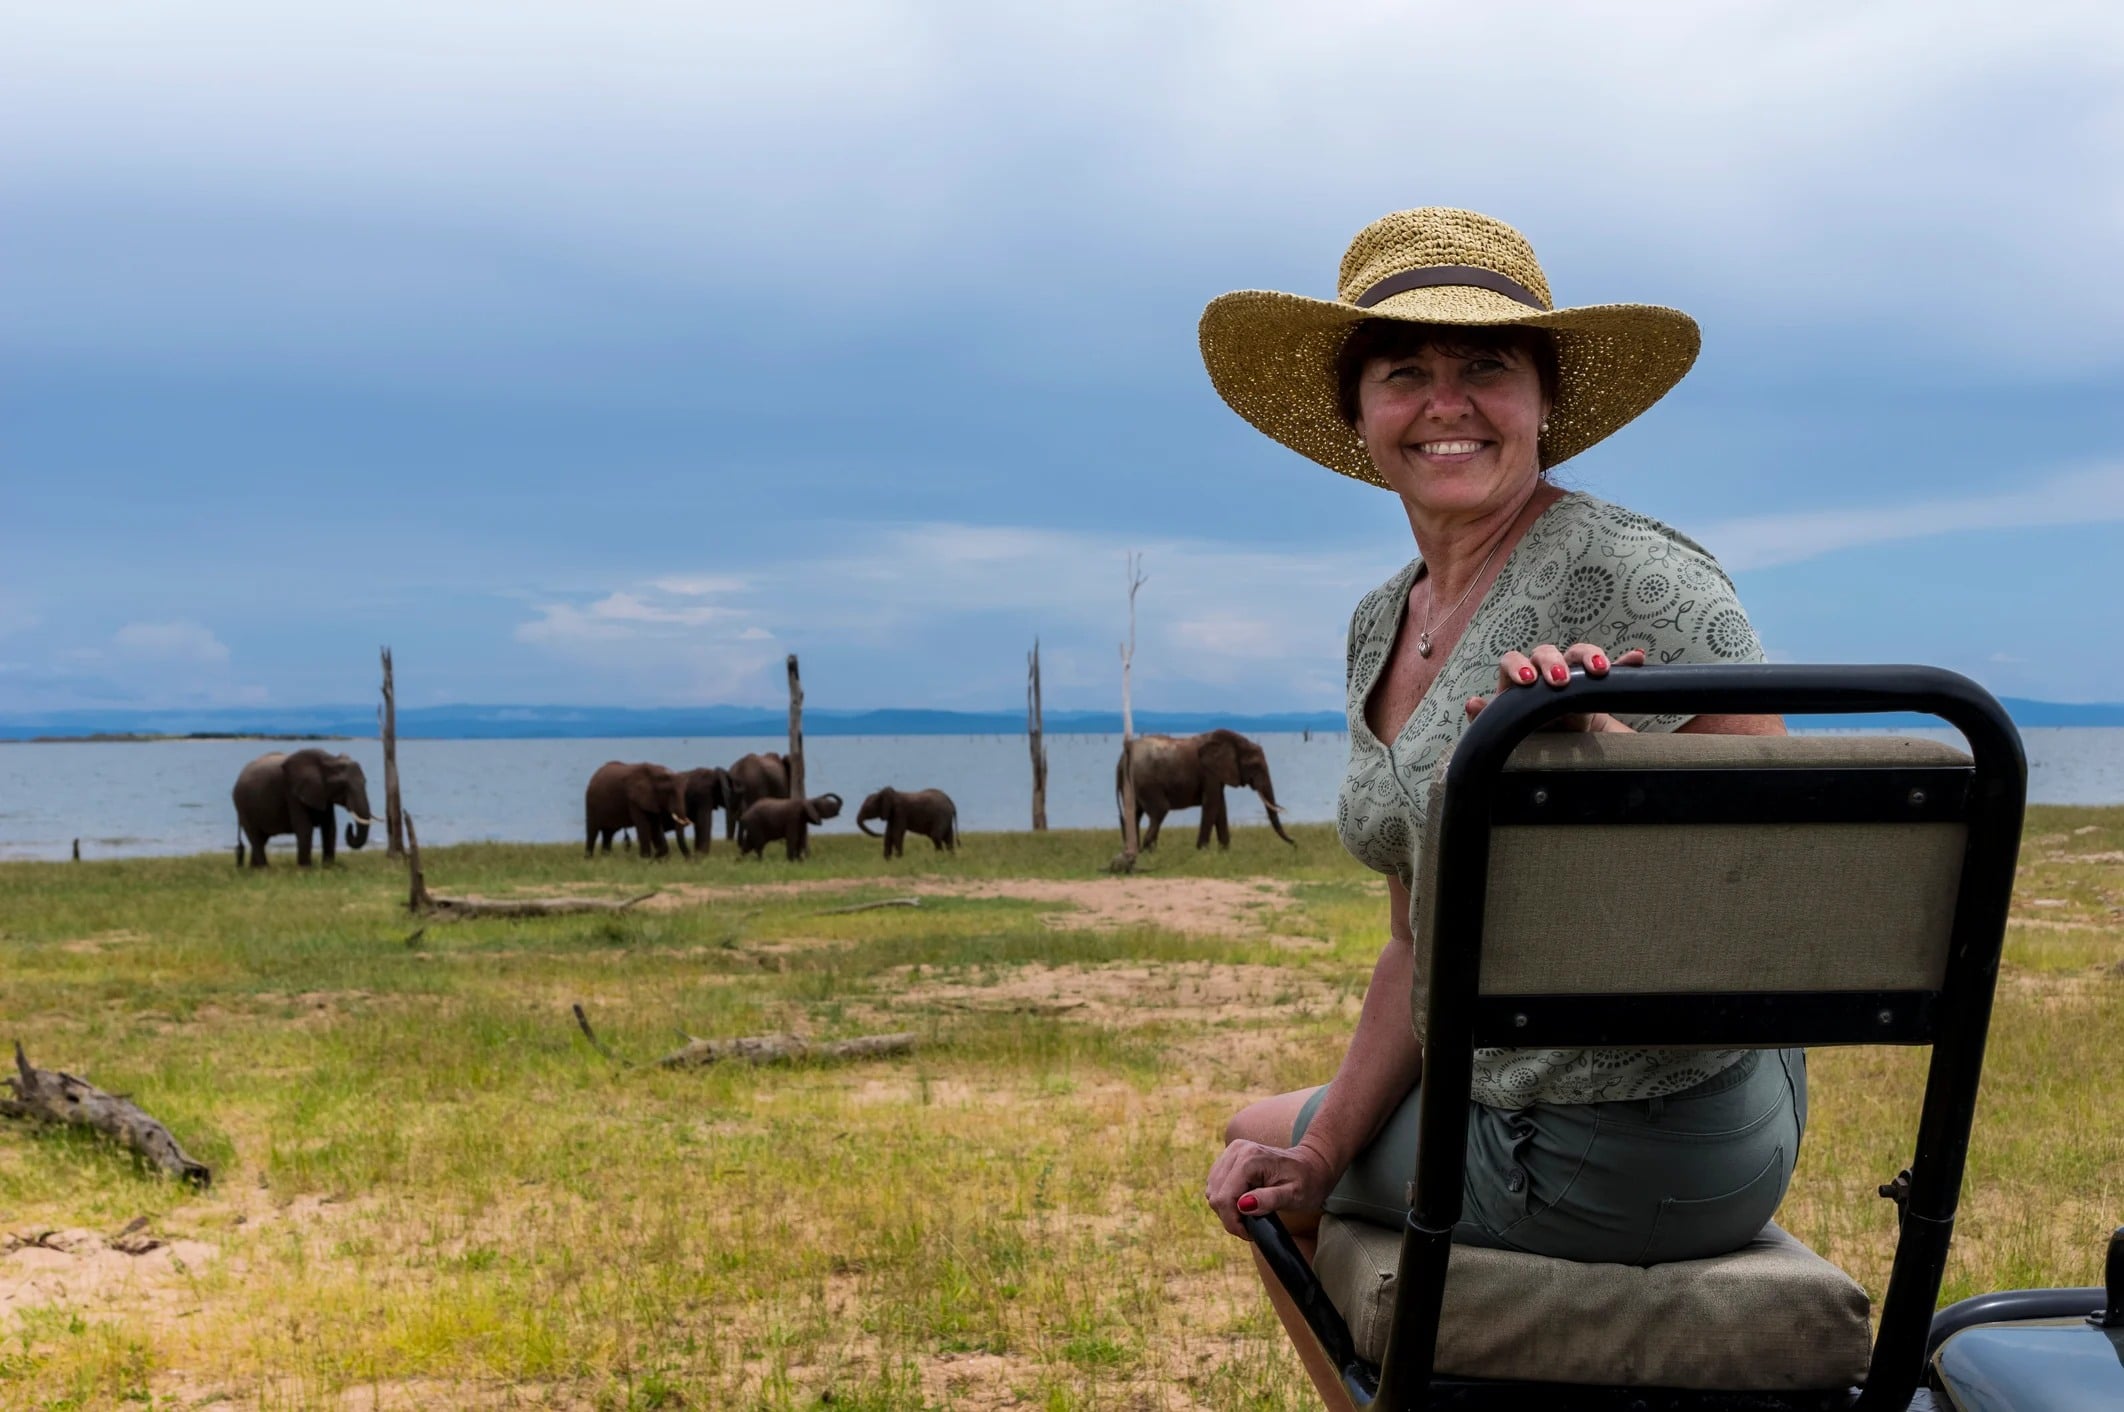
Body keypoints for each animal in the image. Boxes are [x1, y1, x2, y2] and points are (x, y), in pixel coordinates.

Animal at [231, 749, 381, 868]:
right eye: (342, 786)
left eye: (365, 782)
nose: (350, 825)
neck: (329, 759)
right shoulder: (293, 793)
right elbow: (304, 829)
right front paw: (306, 870)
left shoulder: (322, 793)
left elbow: (329, 828)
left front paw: (328, 868)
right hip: (242, 806)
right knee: (255, 837)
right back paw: (264, 870)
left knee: (261, 839)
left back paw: (255, 870)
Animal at [1117, 729, 1295, 850]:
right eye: (1255, 766)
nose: (1295, 843)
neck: (1234, 740)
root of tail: (1126, 752)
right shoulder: (1209, 772)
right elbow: (1212, 804)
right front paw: (1203, 851)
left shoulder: (1217, 774)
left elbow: (1220, 806)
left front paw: (1224, 851)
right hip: (1147, 782)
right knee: (1159, 810)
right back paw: (1147, 850)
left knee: (1134, 813)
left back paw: (1136, 851)